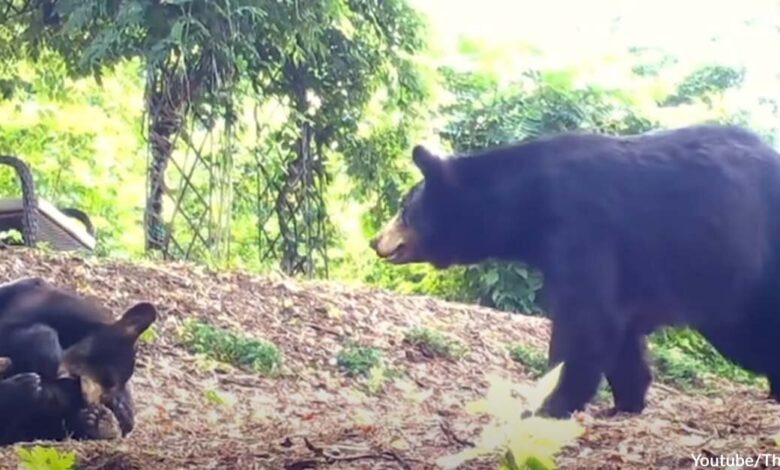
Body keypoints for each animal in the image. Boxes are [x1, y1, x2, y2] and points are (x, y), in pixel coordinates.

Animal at [368, 125, 780, 418]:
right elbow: (618, 331)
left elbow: (585, 320)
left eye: (404, 209)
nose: (375, 240)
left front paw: (548, 404)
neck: (525, 202)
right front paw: (626, 401)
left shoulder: (583, 226)